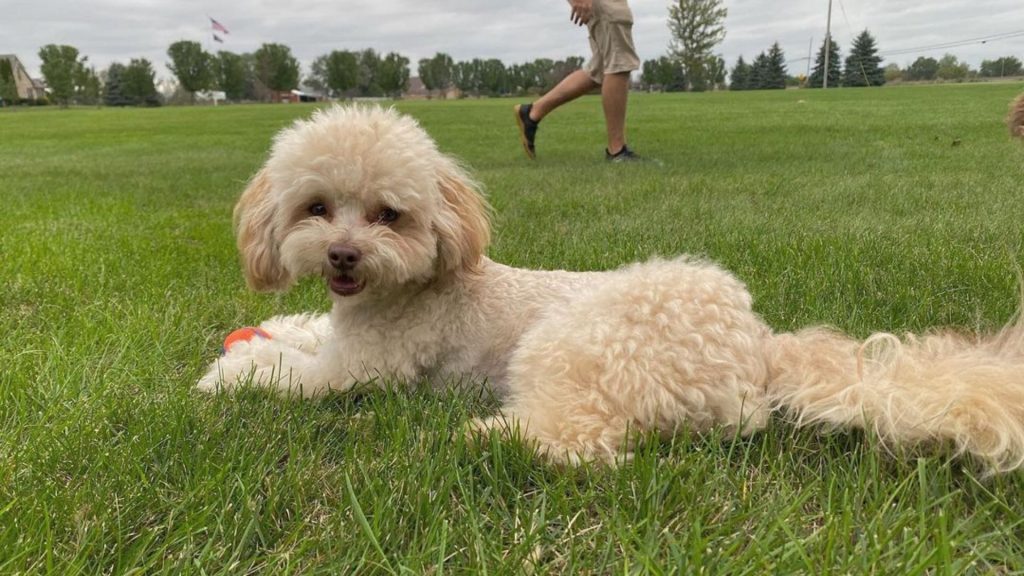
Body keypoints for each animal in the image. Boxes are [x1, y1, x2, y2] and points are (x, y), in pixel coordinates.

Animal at [197, 105, 1024, 473]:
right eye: (315, 207)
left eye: (387, 215)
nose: (342, 255)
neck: (404, 287)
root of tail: (758, 345)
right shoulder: (341, 332)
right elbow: (302, 333)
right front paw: (266, 334)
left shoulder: (362, 371)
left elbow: (290, 375)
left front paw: (232, 371)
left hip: (573, 341)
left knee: (582, 440)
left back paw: (477, 438)